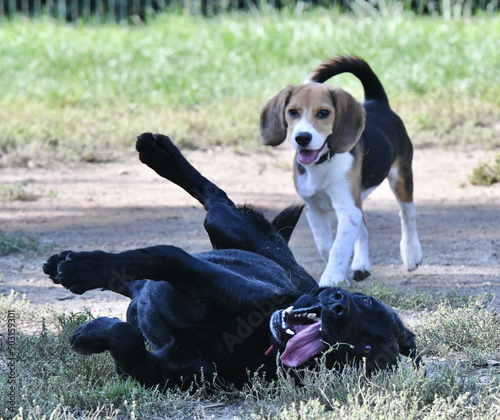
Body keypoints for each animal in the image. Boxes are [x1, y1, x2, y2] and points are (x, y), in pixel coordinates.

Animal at [42, 134, 418, 390]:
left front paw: (91, 332)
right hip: (229, 225)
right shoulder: (193, 270)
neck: (256, 335)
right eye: (364, 301)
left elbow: (127, 338)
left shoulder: (161, 372)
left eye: (364, 349)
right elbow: (153, 257)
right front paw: (83, 269)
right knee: (214, 197)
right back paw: (160, 154)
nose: (339, 303)